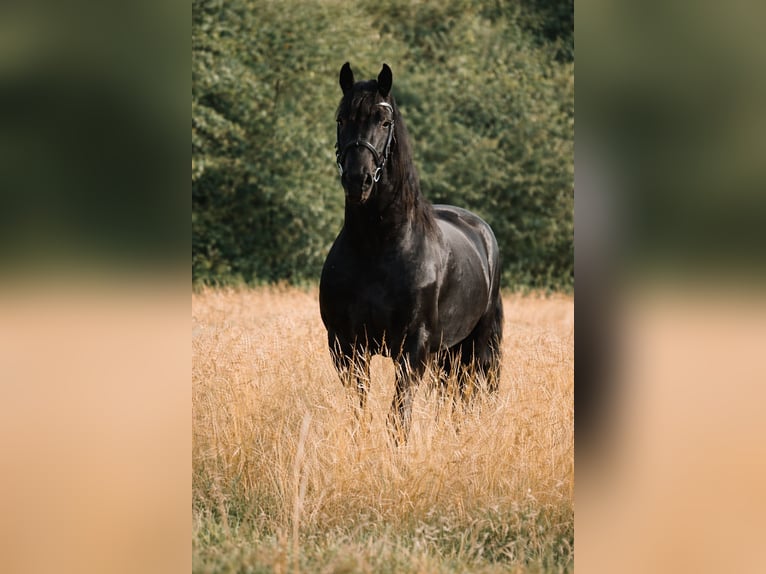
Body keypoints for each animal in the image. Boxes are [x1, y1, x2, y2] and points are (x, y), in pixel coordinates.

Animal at [319, 62, 503, 443]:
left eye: (384, 121)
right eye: (341, 119)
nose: (358, 180)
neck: (377, 247)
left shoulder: (413, 348)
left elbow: (398, 417)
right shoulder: (346, 347)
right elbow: (359, 410)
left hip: (474, 346)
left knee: (465, 394)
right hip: (447, 351)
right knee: (449, 393)